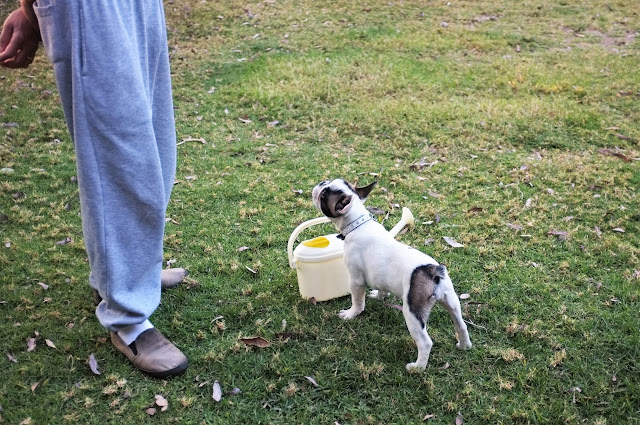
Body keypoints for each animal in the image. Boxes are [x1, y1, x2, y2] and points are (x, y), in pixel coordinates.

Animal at [312, 178, 472, 371]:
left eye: (324, 194)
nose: (322, 182)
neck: (358, 222)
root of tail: (434, 272)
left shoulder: (356, 279)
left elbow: (357, 301)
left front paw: (351, 314)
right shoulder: (380, 276)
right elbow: (382, 289)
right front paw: (378, 296)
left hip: (412, 313)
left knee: (425, 342)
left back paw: (417, 368)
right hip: (451, 301)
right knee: (461, 325)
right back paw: (464, 346)